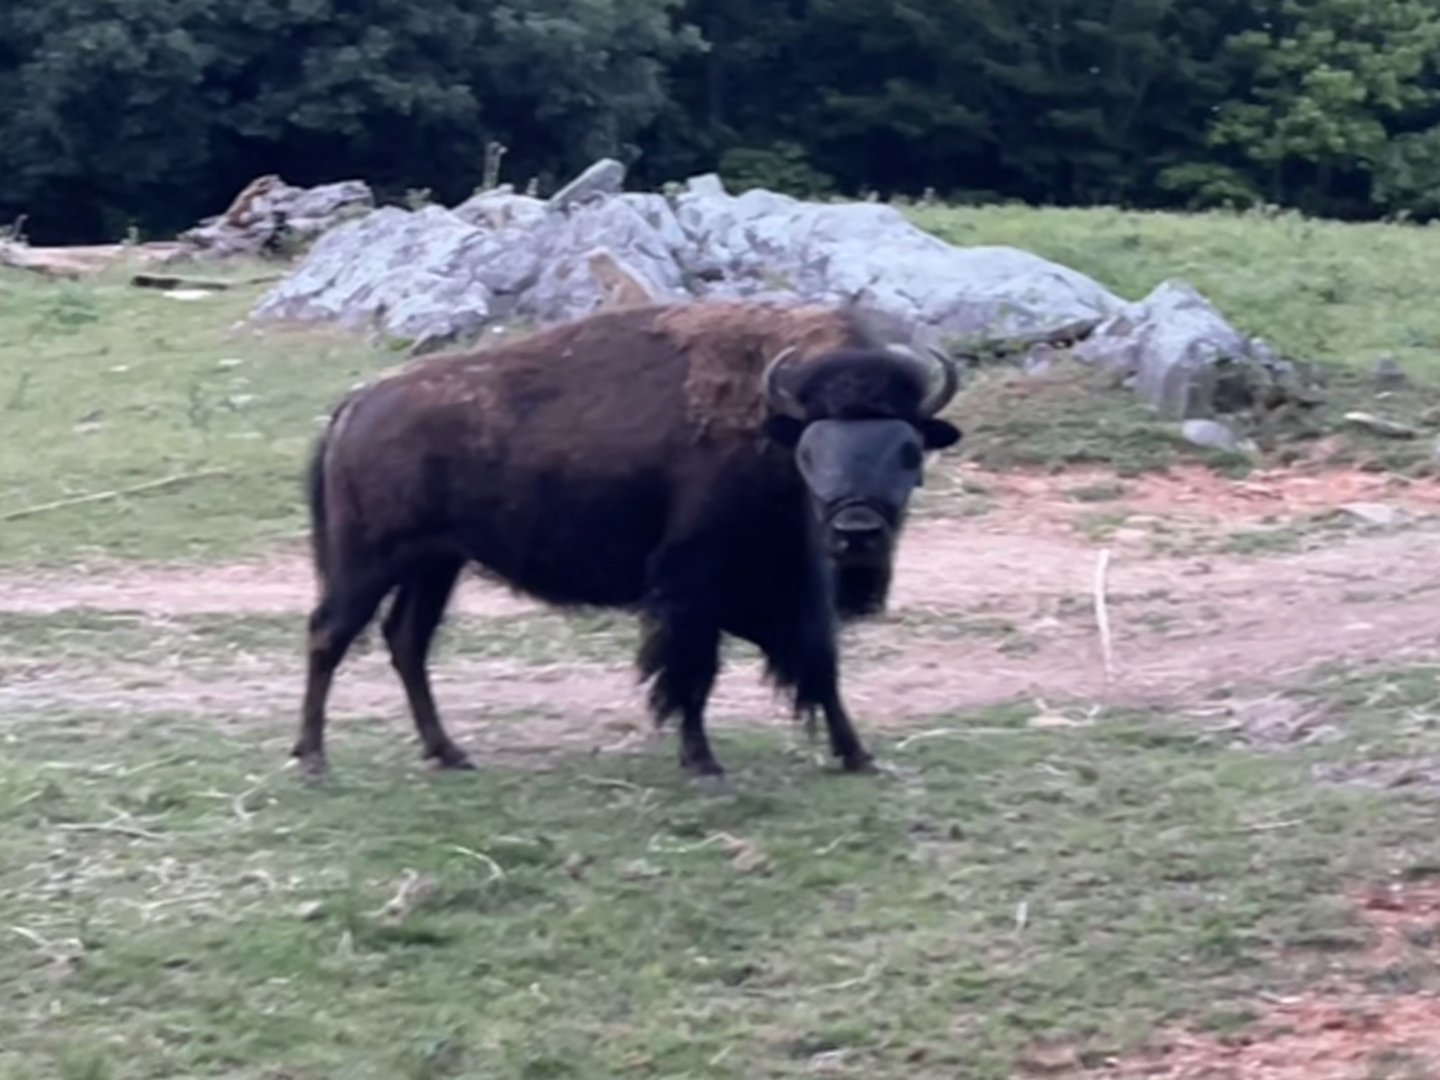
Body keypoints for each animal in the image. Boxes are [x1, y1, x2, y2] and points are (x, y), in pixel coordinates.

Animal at [295, 299, 963, 780]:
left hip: (436, 565)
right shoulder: (694, 588)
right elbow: (693, 673)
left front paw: (859, 755)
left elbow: (820, 666)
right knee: (329, 633)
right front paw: (702, 763)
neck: (772, 428)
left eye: (908, 450)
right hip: (369, 562)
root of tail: (356, 404)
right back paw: (313, 759)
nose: (858, 532)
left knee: (406, 641)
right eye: (812, 451)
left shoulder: (791, 589)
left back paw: (449, 753)